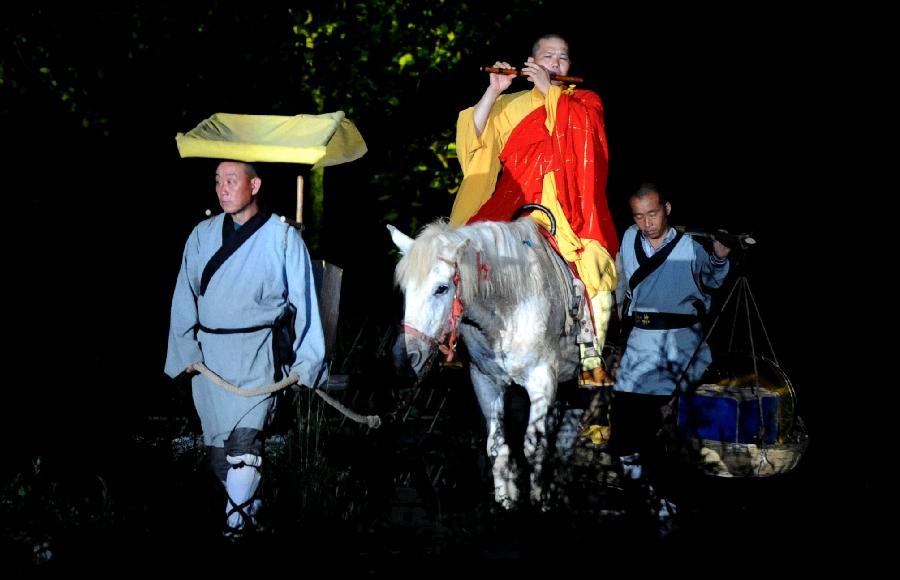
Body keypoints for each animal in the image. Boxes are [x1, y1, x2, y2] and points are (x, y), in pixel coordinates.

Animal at [388, 218, 584, 508]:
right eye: (404, 290)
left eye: (441, 288)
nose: (404, 358)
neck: (511, 306)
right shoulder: (485, 381)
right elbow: (497, 447)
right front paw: (506, 502)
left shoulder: (542, 380)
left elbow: (534, 447)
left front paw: (537, 504)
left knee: (564, 446)